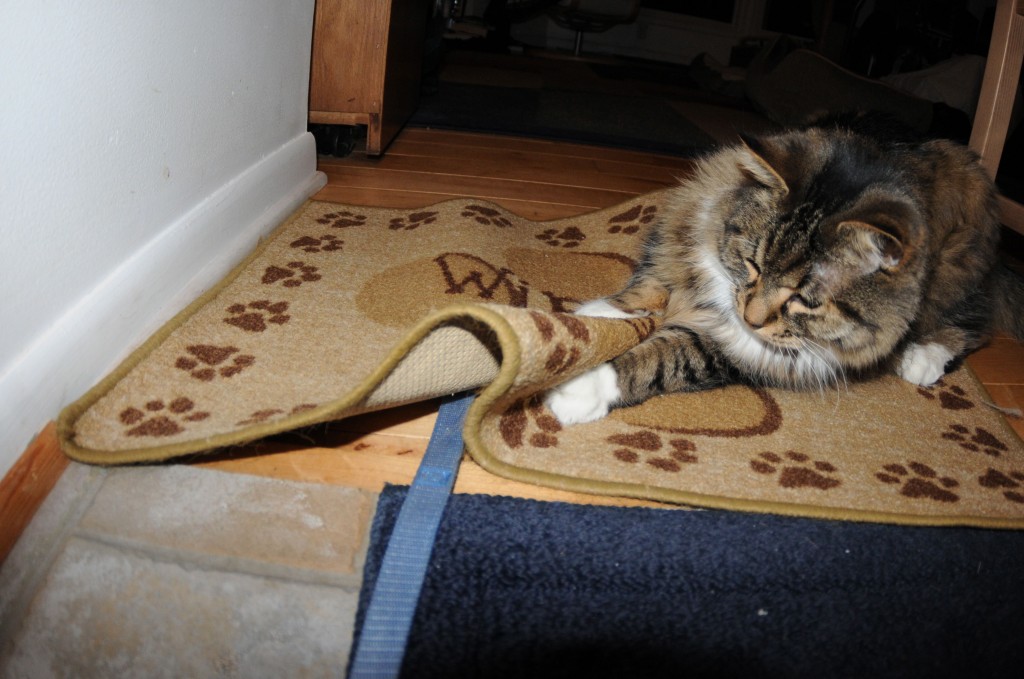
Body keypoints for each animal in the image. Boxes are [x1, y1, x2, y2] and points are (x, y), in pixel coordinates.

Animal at [544, 116, 1024, 426]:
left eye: (804, 300)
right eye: (753, 264)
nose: (751, 318)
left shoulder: (751, 348)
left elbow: (667, 356)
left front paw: (580, 386)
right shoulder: (686, 232)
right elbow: (651, 285)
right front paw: (595, 317)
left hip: (957, 276)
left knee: (974, 321)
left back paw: (922, 358)